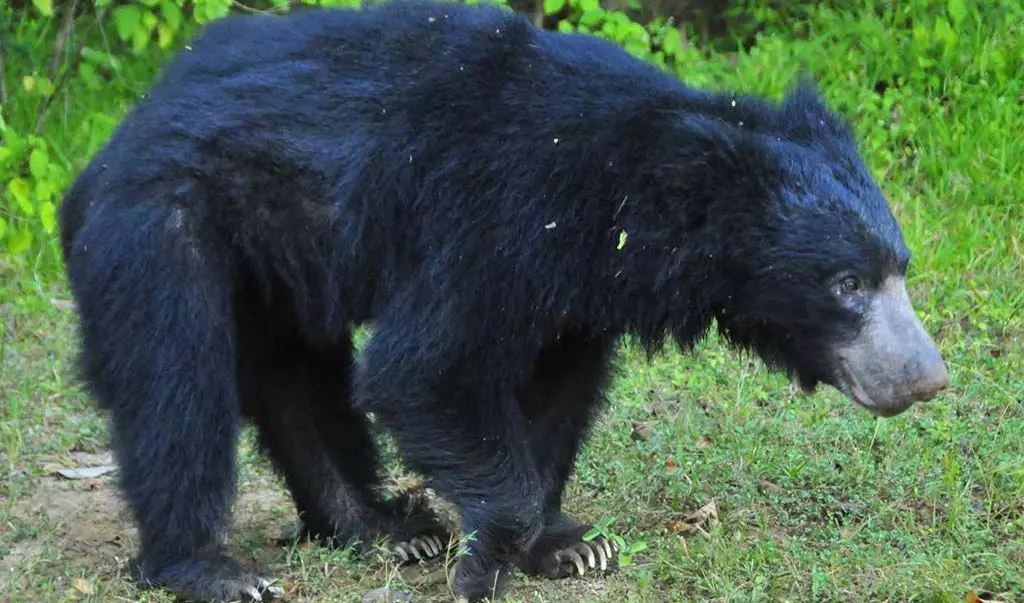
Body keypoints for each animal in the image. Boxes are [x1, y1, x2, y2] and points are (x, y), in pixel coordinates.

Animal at [58, 2, 950, 597]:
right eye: (846, 283)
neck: (617, 201)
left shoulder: (575, 288)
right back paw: (214, 569)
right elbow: (421, 370)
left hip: (274, 254)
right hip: (159, 229)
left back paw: (383, 528)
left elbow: (553, 394)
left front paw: (565, 547)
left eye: (899, 268)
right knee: (175, 386)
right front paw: (486, 560)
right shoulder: (490, 217)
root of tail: (116, 140)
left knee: (297, 379)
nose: (928, 377)